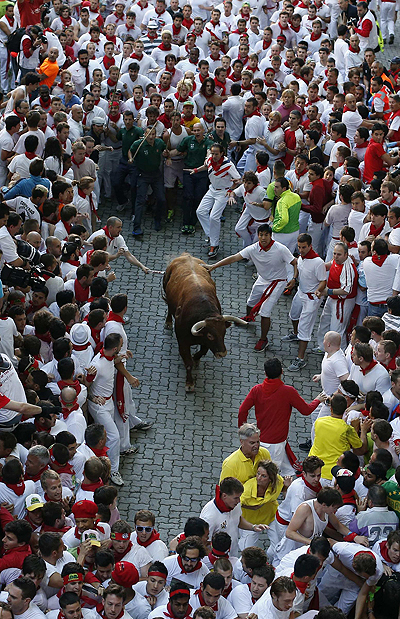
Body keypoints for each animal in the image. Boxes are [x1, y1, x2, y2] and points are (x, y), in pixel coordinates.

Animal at [162, 253, 247, 392]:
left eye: (224, 333)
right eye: (210, 335)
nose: (222, 353)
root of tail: (186, 255)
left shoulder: (205, 343)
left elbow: (201, 353)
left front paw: (196, 359)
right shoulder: (183, 342)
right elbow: (188, 363)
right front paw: (190, 383)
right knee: (169, 307)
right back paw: (168, 322)